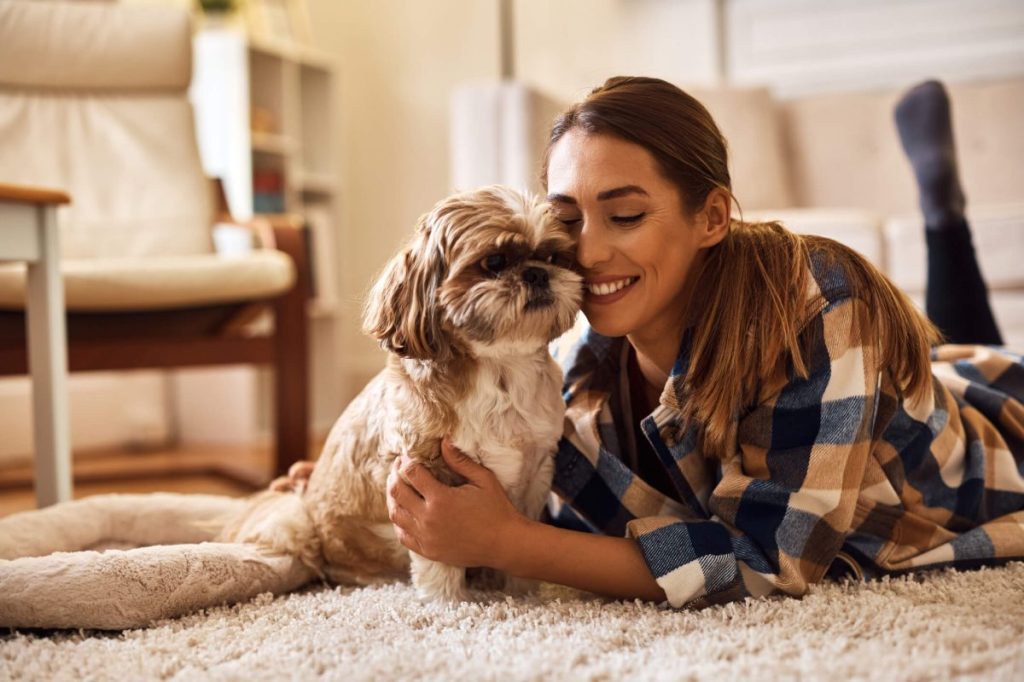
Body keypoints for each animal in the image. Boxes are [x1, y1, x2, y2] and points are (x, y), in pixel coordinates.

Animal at [219, 183, 581, 598]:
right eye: (494, 261)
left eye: (553, 256)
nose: (538, 274)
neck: (501, 371)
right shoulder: (426, 479)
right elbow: (440, 558)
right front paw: (447, 601)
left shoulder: (535, 469)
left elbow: (519, 544)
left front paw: (520, 593)